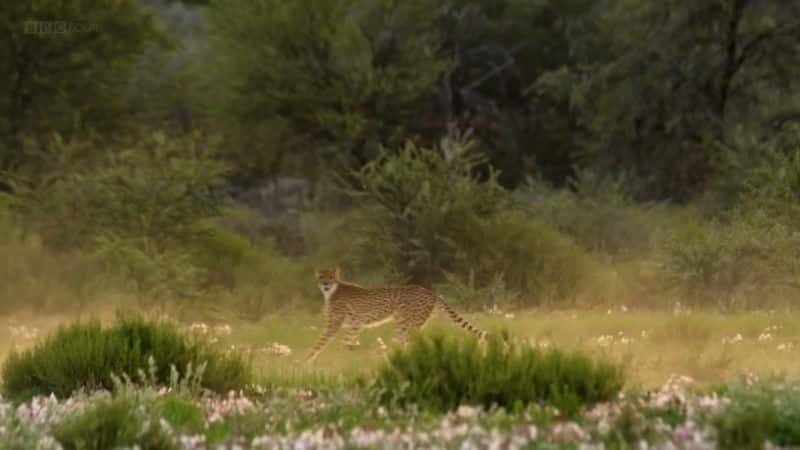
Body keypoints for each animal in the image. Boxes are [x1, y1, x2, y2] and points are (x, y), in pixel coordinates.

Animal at [304, 268, 484, 362]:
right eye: (321, 276)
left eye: (330, 277)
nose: (326, 283)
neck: (333, 290)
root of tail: (429, 291)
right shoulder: (355, 325)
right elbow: (348, 343)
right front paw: (349, 356)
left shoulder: (333, 325)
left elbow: (320, 342)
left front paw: (306, 360)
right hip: (402, 324)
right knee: (402, 343)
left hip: (410, 324)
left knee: (411, 343)